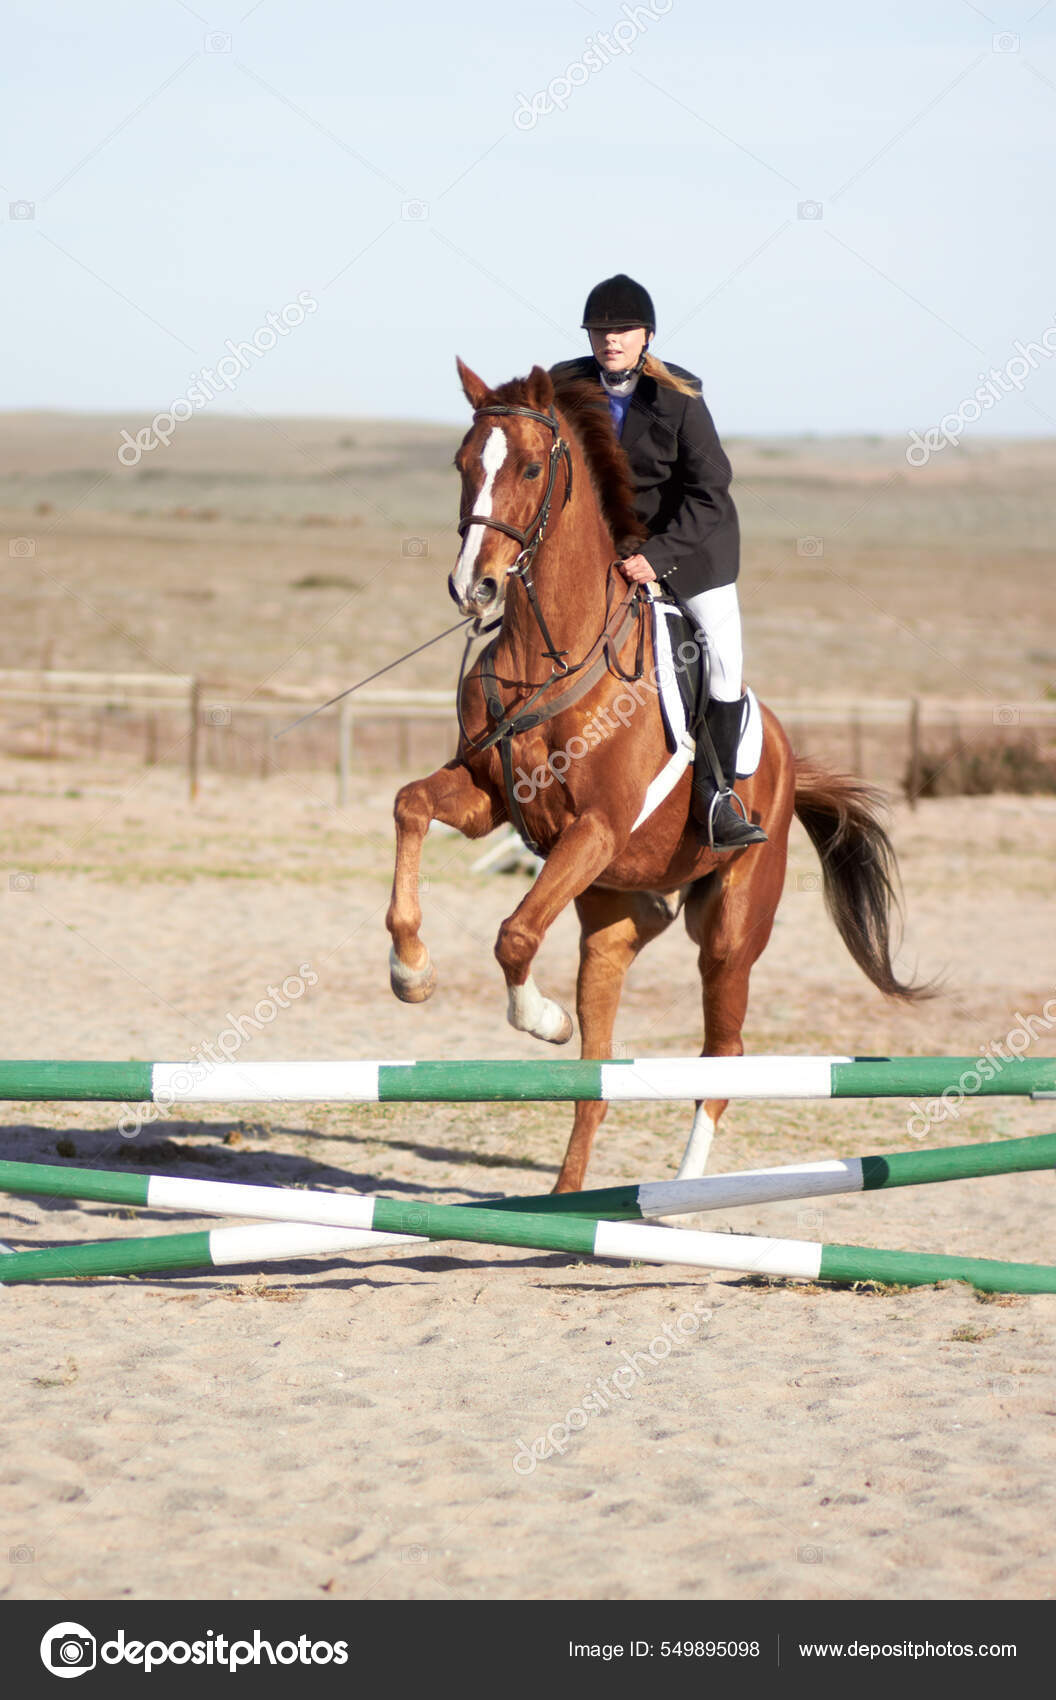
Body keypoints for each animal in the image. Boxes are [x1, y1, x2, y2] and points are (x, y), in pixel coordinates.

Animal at [387, 358, 925, 1190]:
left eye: (533, 468)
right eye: (462, 463)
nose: (473, 589)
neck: (550, 653)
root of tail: (787, 758)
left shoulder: (598, 829)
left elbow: (514, 934)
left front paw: (540, 1018)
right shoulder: (489, 801)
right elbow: (411, 805)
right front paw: (410, 970)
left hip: (729, 927)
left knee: (723, 1053)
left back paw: (682, 1188)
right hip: (611, 912)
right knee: (599, 1070)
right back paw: (568, 1198)